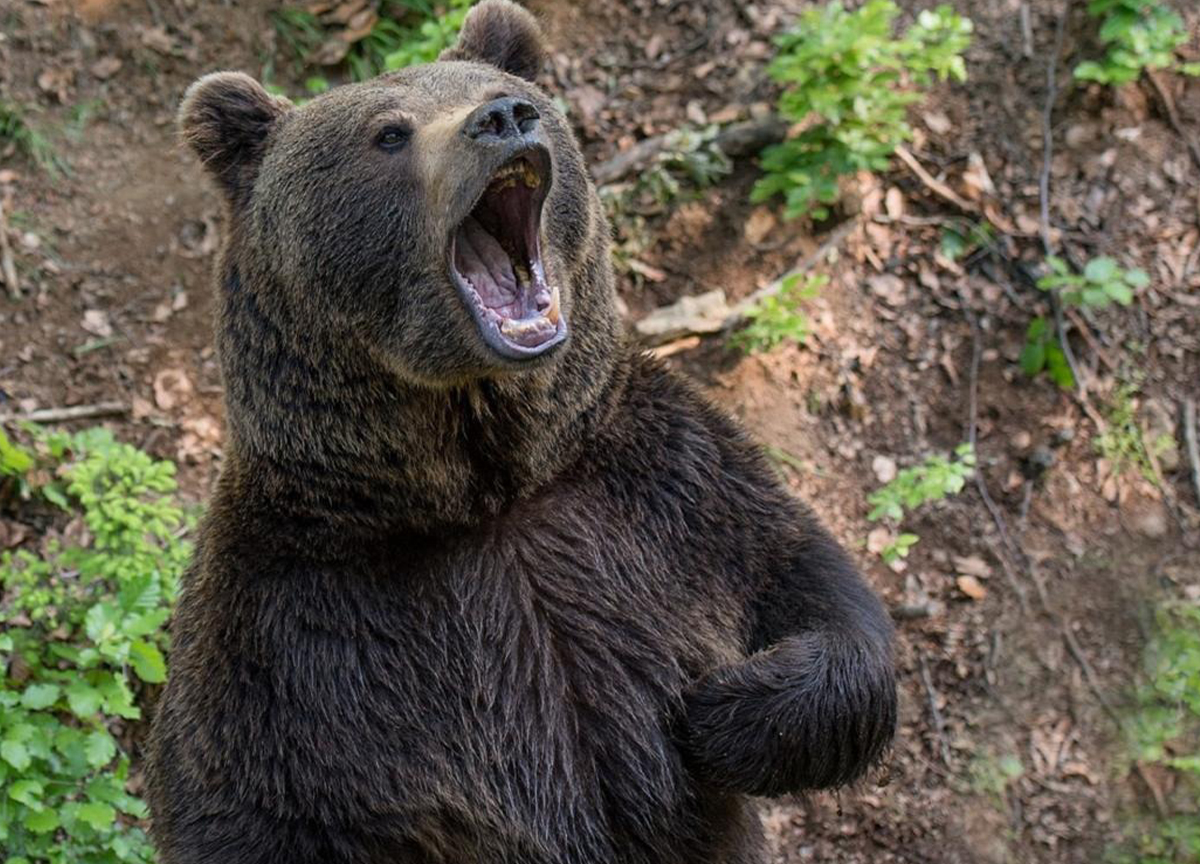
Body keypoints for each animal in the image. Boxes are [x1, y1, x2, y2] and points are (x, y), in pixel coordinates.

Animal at [145, 2, 897, 862]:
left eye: (505, 91)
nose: (504, 119)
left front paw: (721, 714)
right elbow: (242, 807)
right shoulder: (291, 635)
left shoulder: (666, 492)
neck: (488, 487)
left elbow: (814, 590)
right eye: (389, 132)